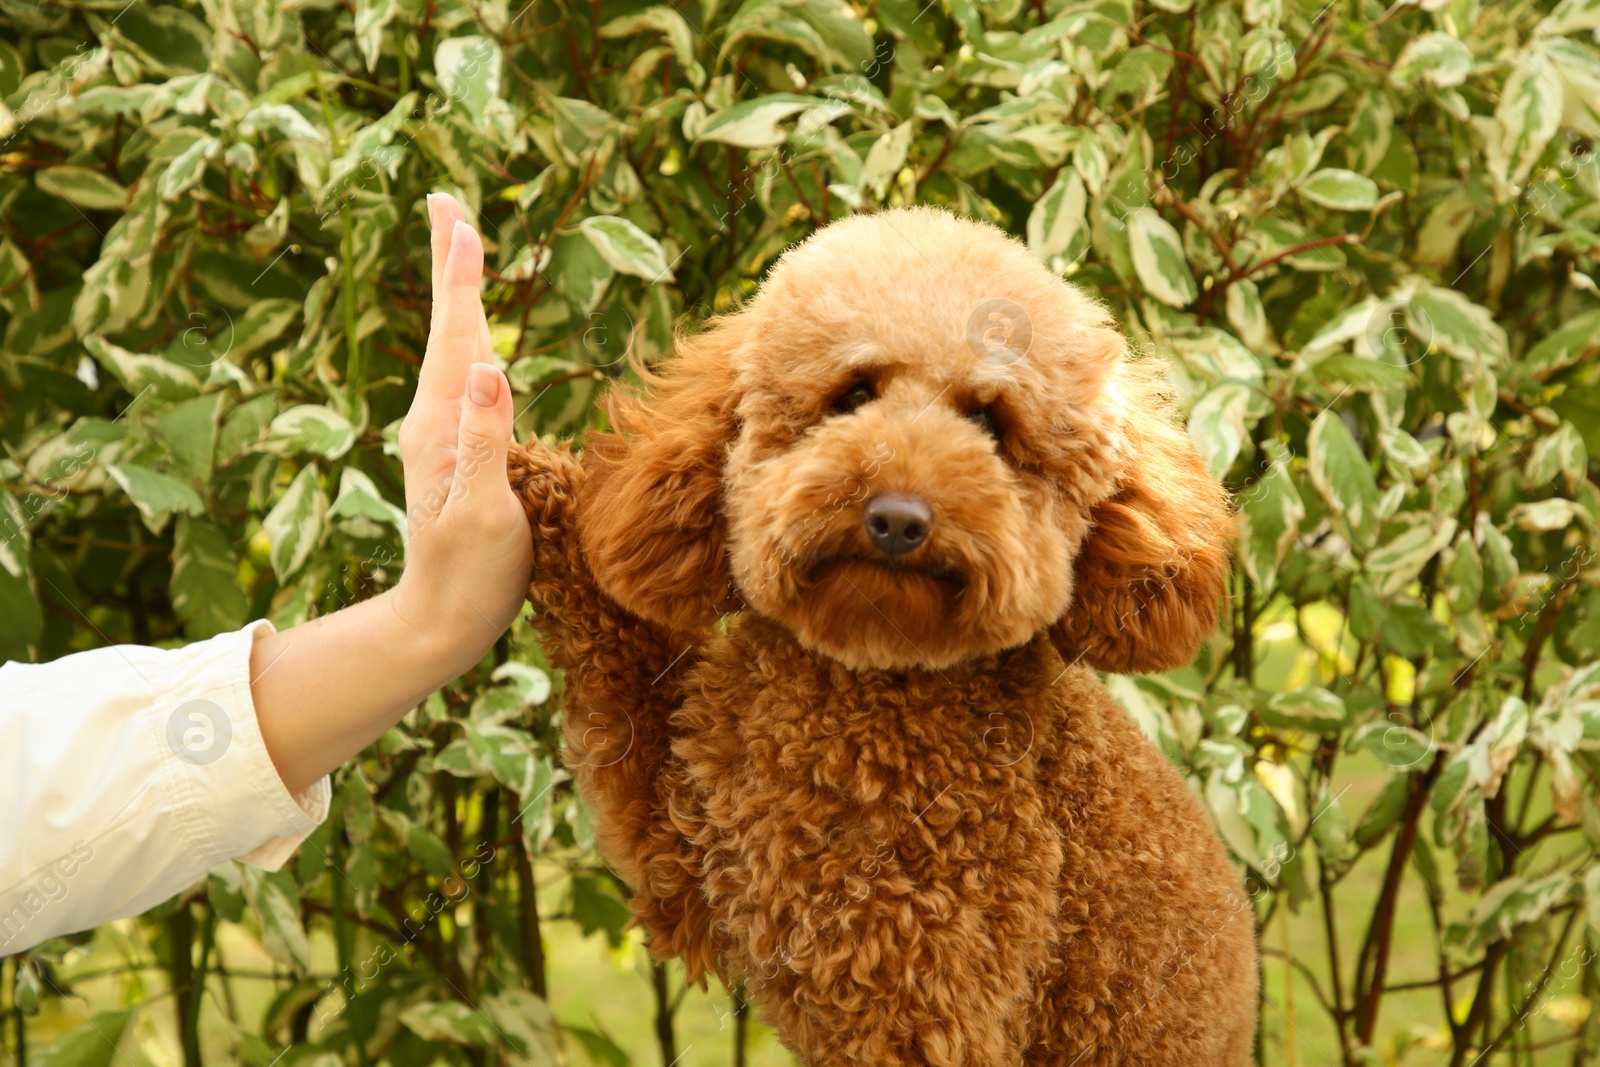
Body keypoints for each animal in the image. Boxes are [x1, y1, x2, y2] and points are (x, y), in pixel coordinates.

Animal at [505, 207, 1254, 1067]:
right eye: (852, 393)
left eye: (990, 419)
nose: (897, 518)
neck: (867, 687)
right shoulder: (687, 850)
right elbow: (617, 677)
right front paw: (534, 482)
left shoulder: (926, 1006)